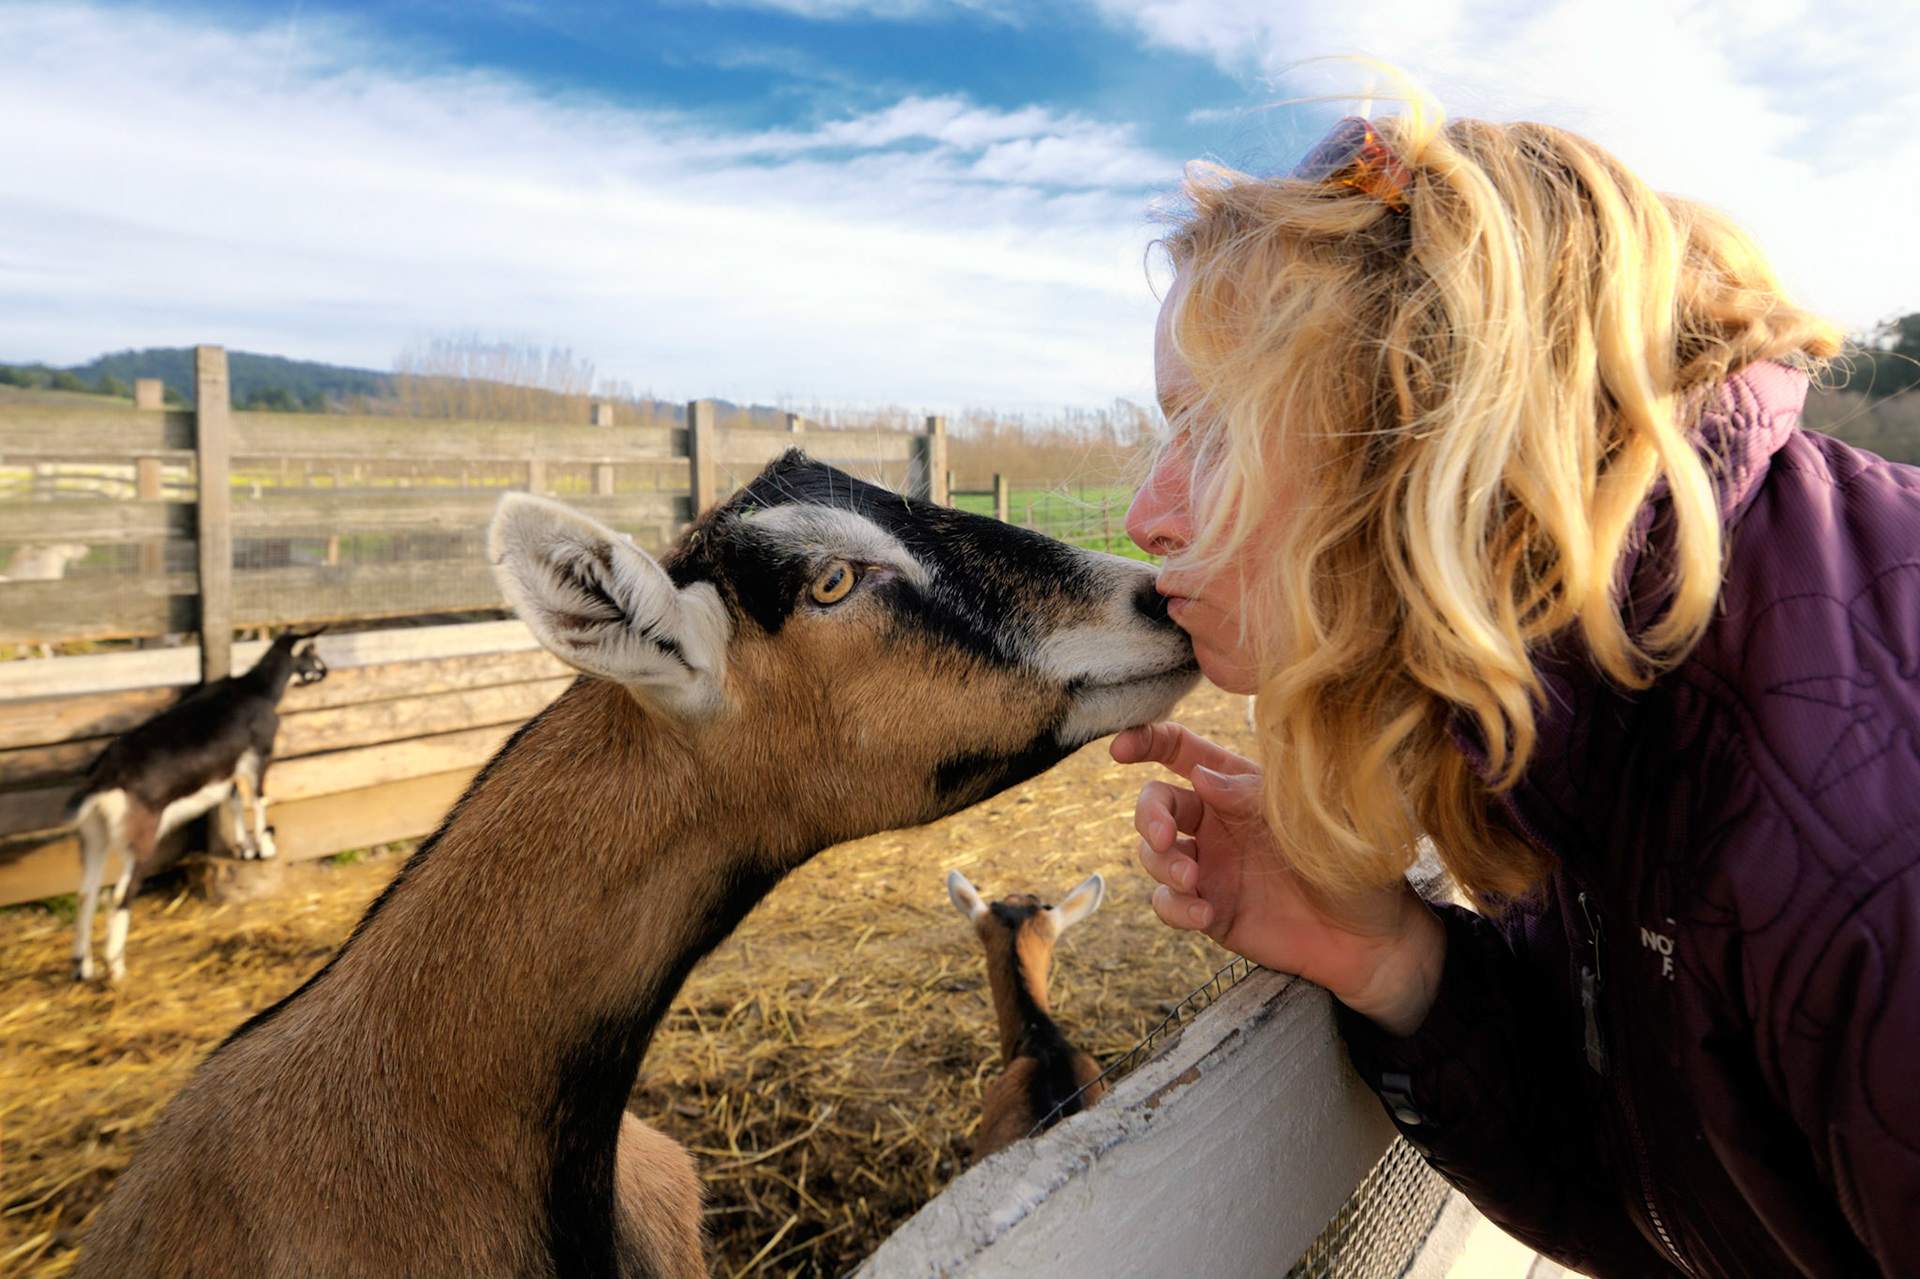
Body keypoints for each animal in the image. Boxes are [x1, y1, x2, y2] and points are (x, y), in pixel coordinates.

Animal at [67, 627, 327, 982]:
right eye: (312, 652)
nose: (325, 672)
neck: (257, 689)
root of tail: (103, 778)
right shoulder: (259, 753)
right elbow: (257, 798)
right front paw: (265, 848)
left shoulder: (227, 768)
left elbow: (233, 801)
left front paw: (245, 850)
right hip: (140, 839)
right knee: (119, 895)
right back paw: (116, 968)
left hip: (94, 835)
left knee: (86, 893)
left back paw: (84, 967)